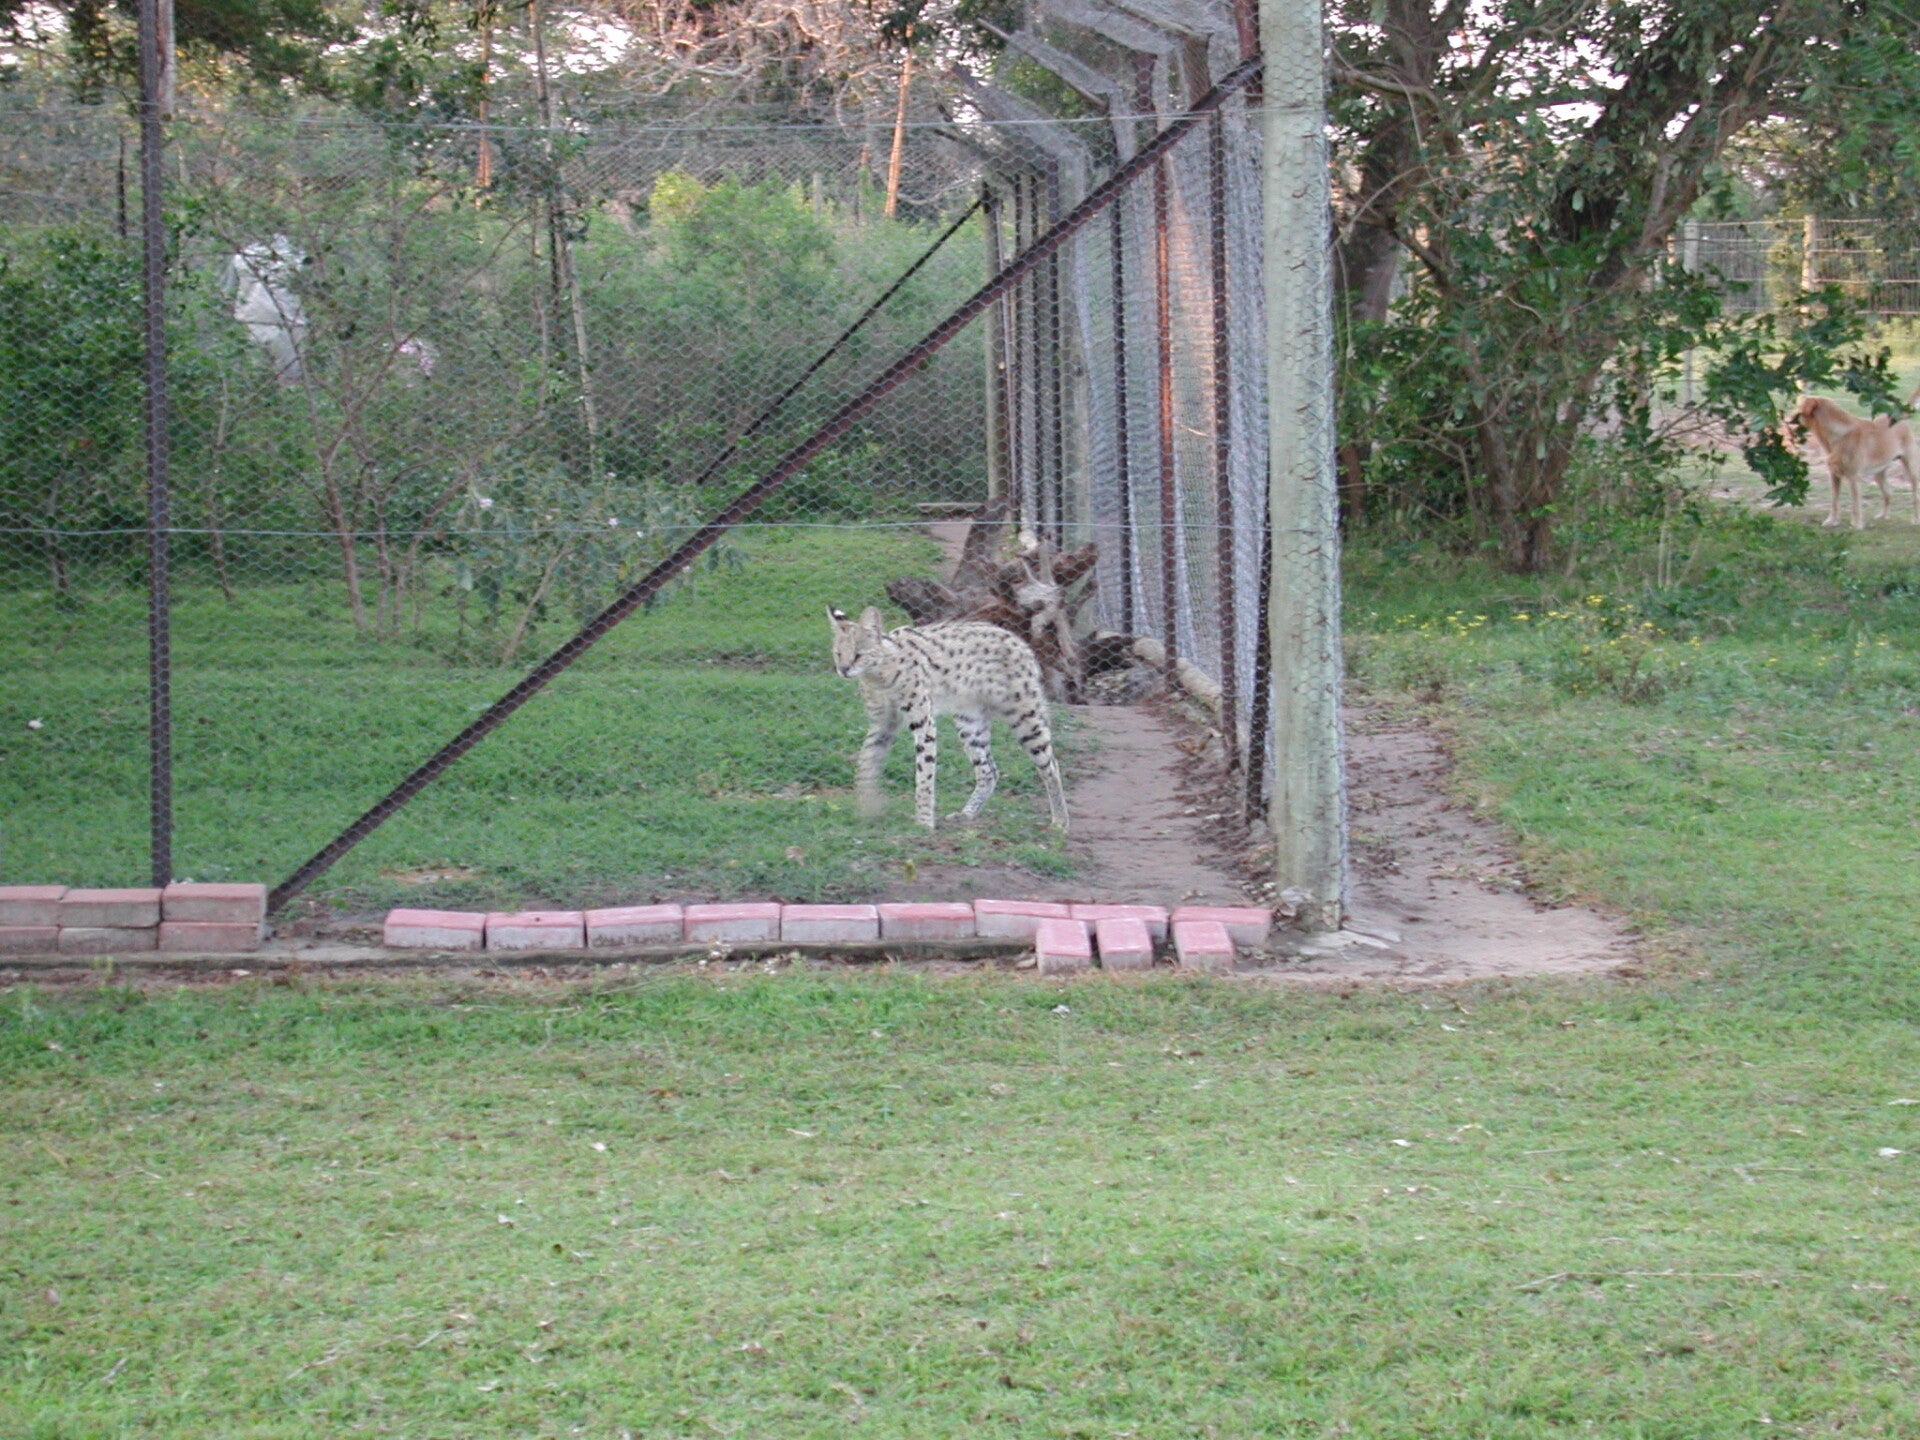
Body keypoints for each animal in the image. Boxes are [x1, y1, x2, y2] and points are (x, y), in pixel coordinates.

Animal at [1789, 394, 1920, 529]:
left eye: (1798, 407)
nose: (1786, 417)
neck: (1840, 435)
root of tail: (1899, 415)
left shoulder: (1853, 477)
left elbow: (1855, 503)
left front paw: (1857, 524)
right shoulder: (1834, 476)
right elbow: (1834, 501)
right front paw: (1832, 520)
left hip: (1911, 470)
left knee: (1915, 497)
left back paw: (1915, 519)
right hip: (1879, 473)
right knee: (1888, 493)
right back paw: (1883, 515)